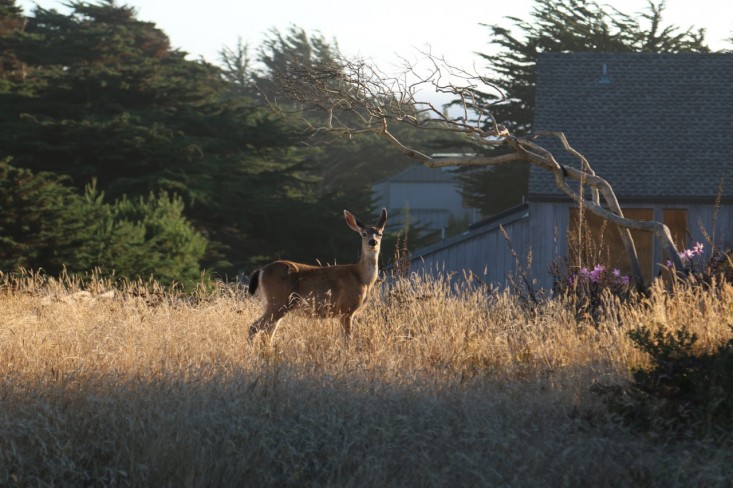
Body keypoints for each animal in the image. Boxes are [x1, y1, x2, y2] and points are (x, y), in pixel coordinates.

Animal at [247, 207, 386, 340]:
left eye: (380, 234)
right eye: (364, 234)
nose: (373, 242)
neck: (362, 278)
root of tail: (261, 271)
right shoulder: (346, 309)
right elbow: (347, 338)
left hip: (275, 305)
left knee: (267, 333)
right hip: (278, 301)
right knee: (254, 328)